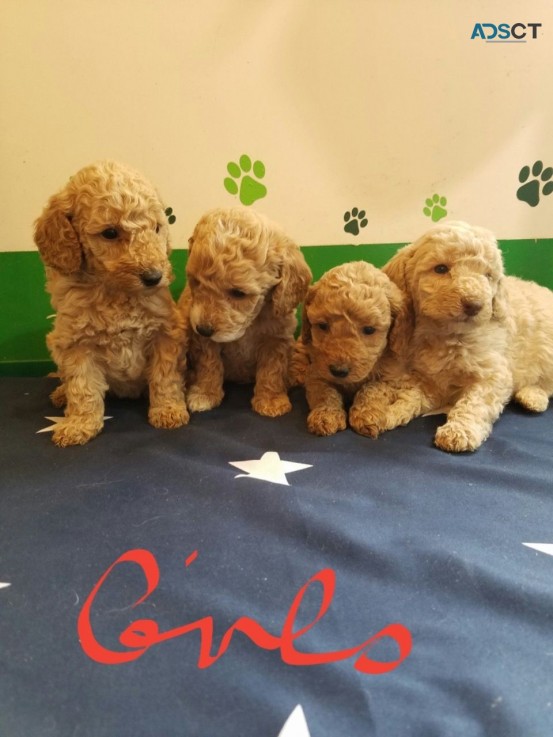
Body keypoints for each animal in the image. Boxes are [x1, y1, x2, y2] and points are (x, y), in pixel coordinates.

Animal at [35, 161, 190, 446]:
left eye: (156, 228)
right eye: (110, 233)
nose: (154, 277)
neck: (116, 292)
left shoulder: (166, 331)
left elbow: (165, 376)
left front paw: (169, 410)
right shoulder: (75, 342)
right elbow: (82, 386)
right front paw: (79, 424)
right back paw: (61, 394)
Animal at [180, 207, 312, 416]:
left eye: (238, 293)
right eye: (196, 282)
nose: (203, 329)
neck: (249, 324)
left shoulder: (276, 339)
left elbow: (272, 370)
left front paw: (271, 400)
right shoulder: (204, 341)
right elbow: (209, 365)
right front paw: (205, 394)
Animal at [296, 264, 404, 436]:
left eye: (369, 329)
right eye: (323, 326)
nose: (339, 371)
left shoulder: (390, 377)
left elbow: (372, 388)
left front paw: (367, 415)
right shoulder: (316, 372)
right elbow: (324, 392)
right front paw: (326, 415)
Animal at [356, 218, 552, 452]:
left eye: (488, 276)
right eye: (440, 268)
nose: (475, 305)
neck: (446, 335)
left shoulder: (493, 373)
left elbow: (476, 401)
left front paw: (460, 431)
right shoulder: (428, 381)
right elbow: (411, 394)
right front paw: (388, 411)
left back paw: (533, 396)